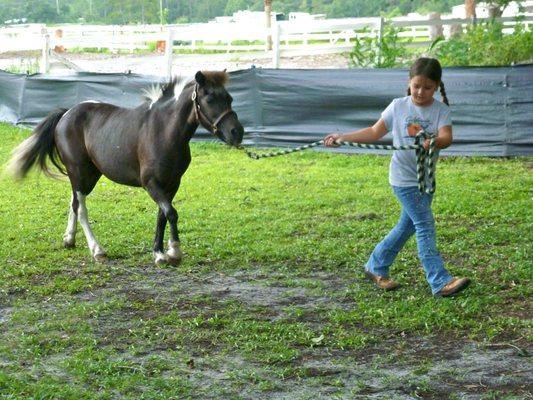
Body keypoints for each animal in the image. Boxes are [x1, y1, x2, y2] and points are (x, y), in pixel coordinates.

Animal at [7, 71, 244, 266]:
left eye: (230, 98)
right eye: (210, 99)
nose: (237, 132)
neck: (163, 131)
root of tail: (66, 114)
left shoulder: (171, 184)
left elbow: (162, 216)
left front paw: (159, 252)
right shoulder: (151, 184)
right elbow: (171, 213)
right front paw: (173, 252)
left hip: (89, 175)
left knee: (73, 202)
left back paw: (69, 239)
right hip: (78, 172)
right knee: (81, 208)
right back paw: (97, 250)